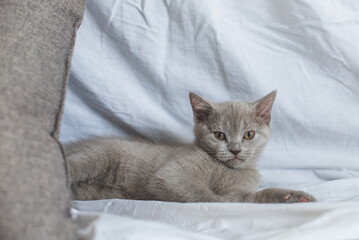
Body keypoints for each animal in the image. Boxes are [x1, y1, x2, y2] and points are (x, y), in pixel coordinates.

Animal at [66, 91, 316, 203]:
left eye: (249, 134)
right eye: (219, 135)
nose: (235, 149)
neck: (228, 170)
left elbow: (255, 195)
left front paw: (294, 196)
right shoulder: (171, 175)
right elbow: (207, 196)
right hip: (96, 156)